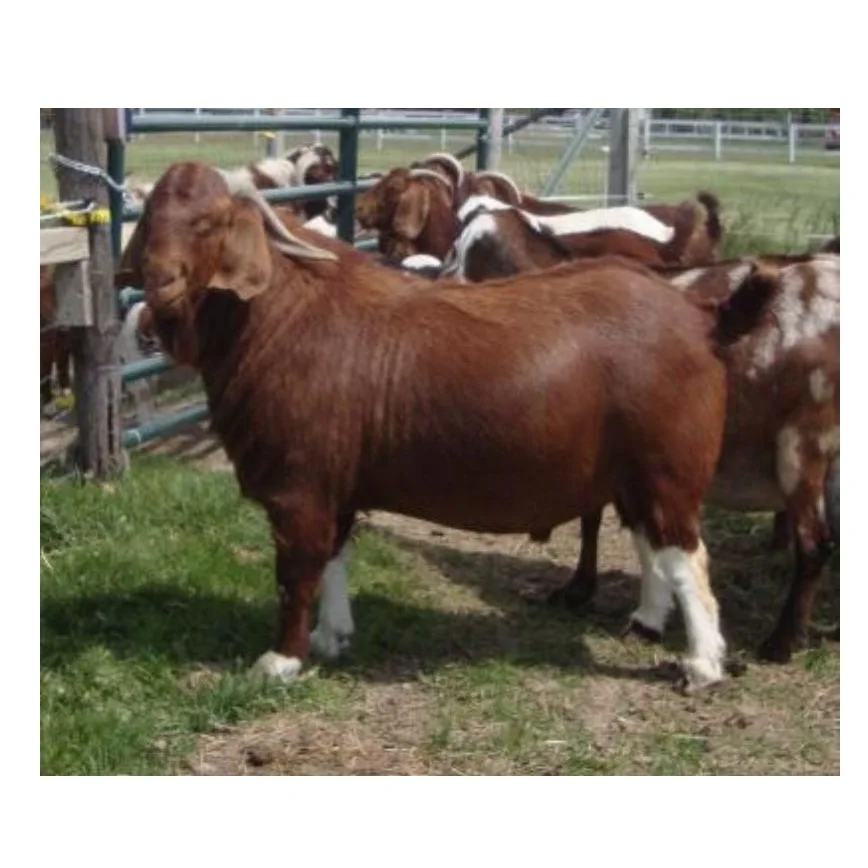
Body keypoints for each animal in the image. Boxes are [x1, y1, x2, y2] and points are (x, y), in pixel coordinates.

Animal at [118, 161, 778, 692]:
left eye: (210, 222)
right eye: (150, 217)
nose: (159, 281)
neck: (281, 315)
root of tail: (701, 316)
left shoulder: (299, 486)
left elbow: (298, 572)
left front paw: (281, 661)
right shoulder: (337, 484)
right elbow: (334, 558)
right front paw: (334, 638)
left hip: (669, 468)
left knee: (687, 557)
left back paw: (703, 665)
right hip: (637, 474)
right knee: (652, 545)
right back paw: (645, 621)